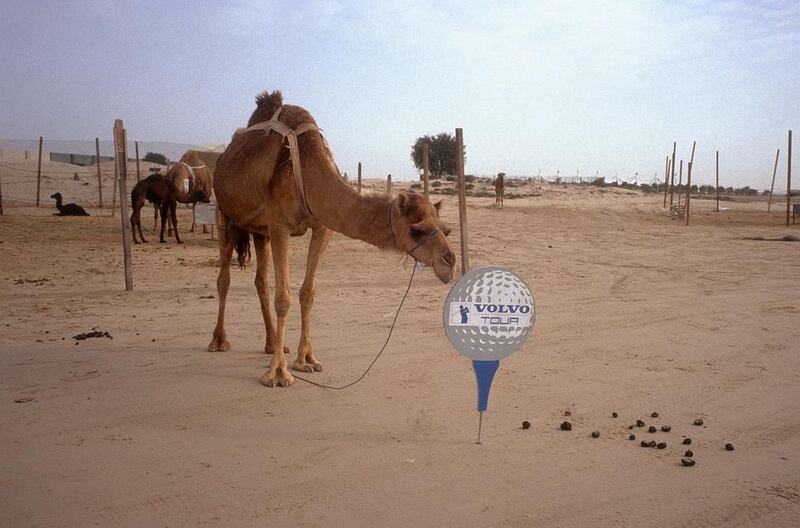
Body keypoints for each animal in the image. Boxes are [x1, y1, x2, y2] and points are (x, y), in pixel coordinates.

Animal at [208, 89, 456, 388]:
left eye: (445, 228)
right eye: (416, 230)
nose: (450, 261)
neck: (306, 165)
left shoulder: (321, 228)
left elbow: (308, 292)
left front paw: (306, 359)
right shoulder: (279, 225)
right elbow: (284, 297)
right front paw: (278, 373)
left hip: (260, 231)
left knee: (260, 280)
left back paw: (271, 343)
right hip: (225, 214)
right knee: (224, 279)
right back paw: (219, 341)